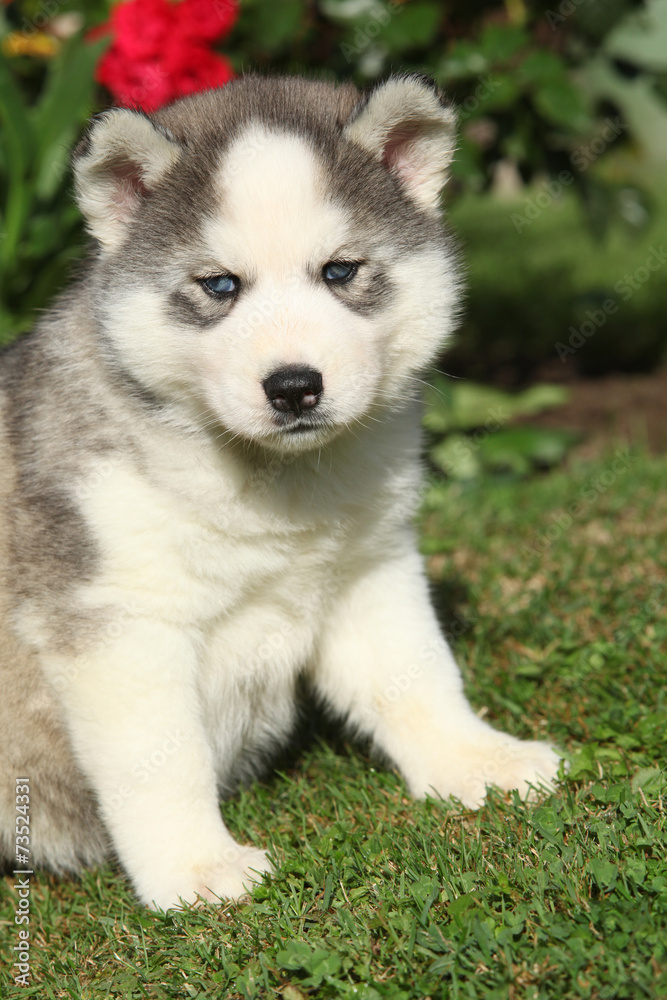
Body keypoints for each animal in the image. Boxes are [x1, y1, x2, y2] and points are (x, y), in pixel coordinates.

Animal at [0, 74, 560, 912]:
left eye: (339, 271)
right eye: (219, 286)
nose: (294, 387)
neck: (273, 483)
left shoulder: (369, 571)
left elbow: (419, 677)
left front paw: (475, 762)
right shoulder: (118, 621)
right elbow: (159, 758)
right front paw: (195, 867)